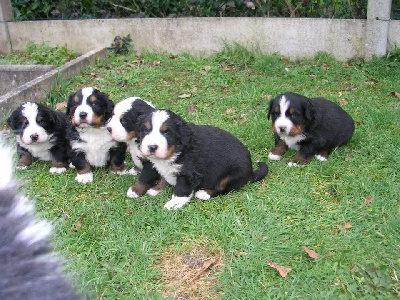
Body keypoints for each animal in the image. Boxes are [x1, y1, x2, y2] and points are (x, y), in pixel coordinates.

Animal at [130, 109, 268, 210]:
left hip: (233, 176)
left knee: (223, 188)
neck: (177, 150)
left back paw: (204, 193)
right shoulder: (157, 165)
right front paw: (146, 190)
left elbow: (181, 191)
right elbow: (153, 177)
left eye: (167, 133)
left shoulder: (188, 174)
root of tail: (251, 172)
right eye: (146, 130)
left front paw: (174, 204)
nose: (152, 147)